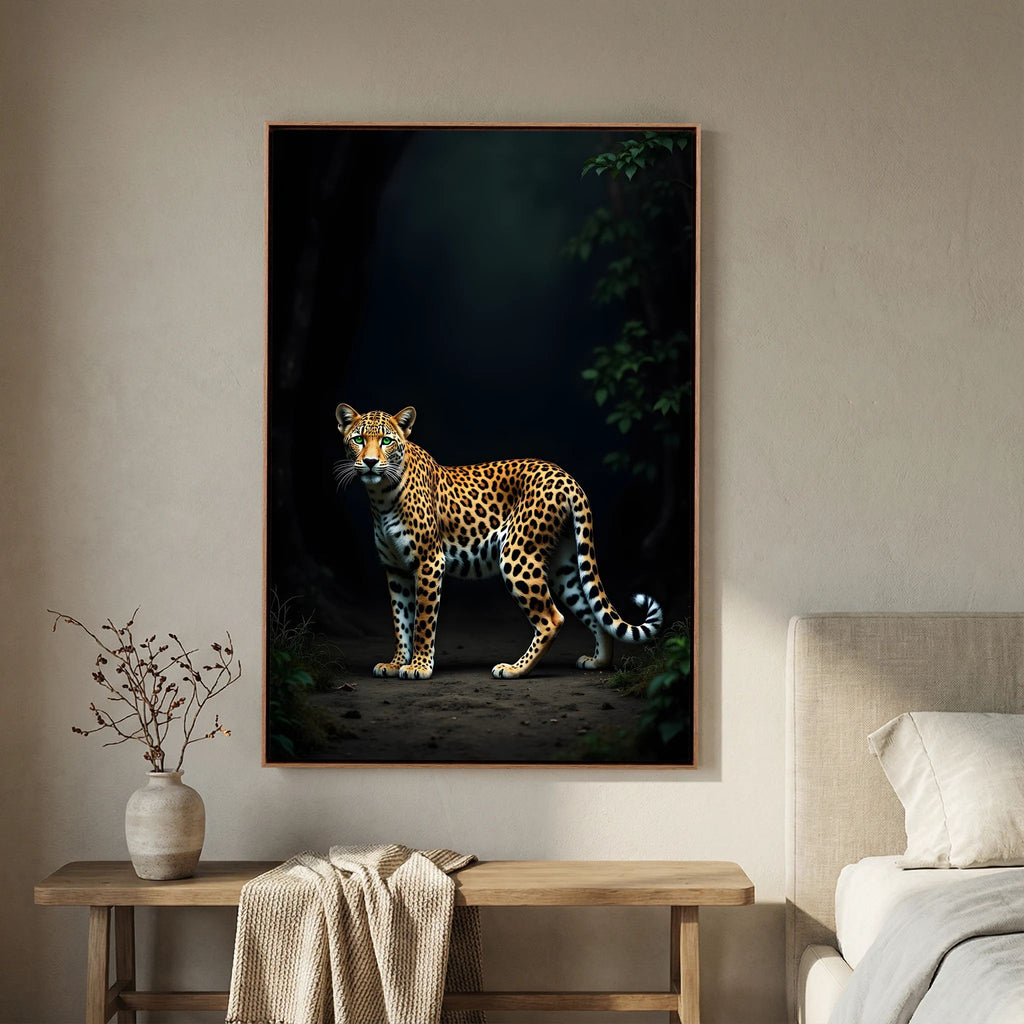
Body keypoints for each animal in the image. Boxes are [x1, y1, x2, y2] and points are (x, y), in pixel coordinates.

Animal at [334, 403, 663, 680]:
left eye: (386, 441)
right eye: (359, 439)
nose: (370, 462)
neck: (380, 496)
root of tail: (567, 477)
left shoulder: (429, 563)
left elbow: (422, 621)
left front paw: (419, 667)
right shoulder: (396, 570)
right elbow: (400, 620)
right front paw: (396, 663)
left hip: (518, 556)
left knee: (552, 618)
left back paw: (514, 669)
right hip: (562, 566)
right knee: (591, 609)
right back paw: (598, 662)